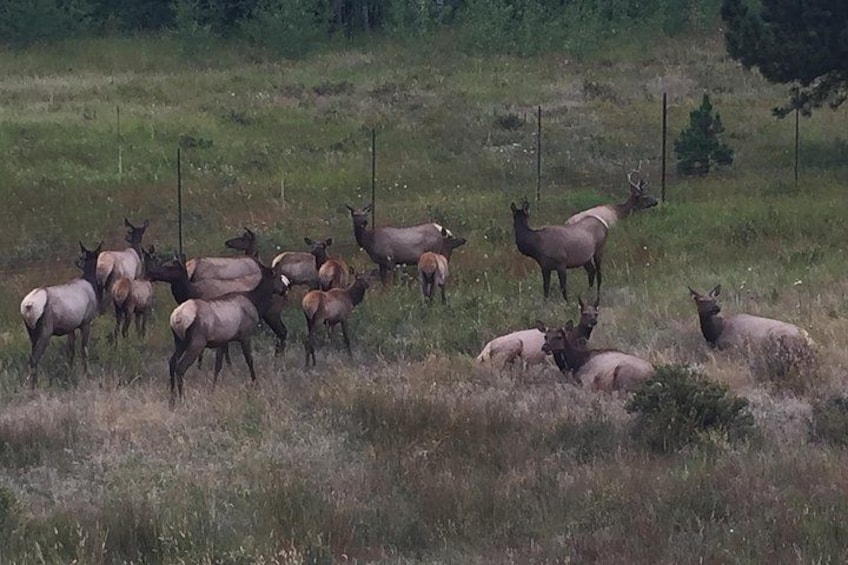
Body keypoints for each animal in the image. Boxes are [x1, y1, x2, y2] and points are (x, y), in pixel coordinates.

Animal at [20, 242, 103, 387]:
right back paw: (33, 386)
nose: (77, 261)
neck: (90, 282)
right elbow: (84, 350)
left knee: (32, 356)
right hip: (46, 330)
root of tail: (28, 306)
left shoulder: (71, 328)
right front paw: (88, 375)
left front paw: (70, 376)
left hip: (31, 331)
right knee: (34, 358)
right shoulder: (86, 322)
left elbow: (70, 353)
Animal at [167, 260, 289, 407]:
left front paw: (213, 389)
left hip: (179, 341)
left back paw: (172, 398)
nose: (286, 289)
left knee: (172, 362)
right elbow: (249, 360)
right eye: (278, 277)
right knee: (180, 367)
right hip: (197, 342)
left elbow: (218, 365)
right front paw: (255, 383)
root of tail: (176, 318)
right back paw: (182, 399)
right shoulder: (245, 335)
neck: (256, 302)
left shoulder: (223, 341)